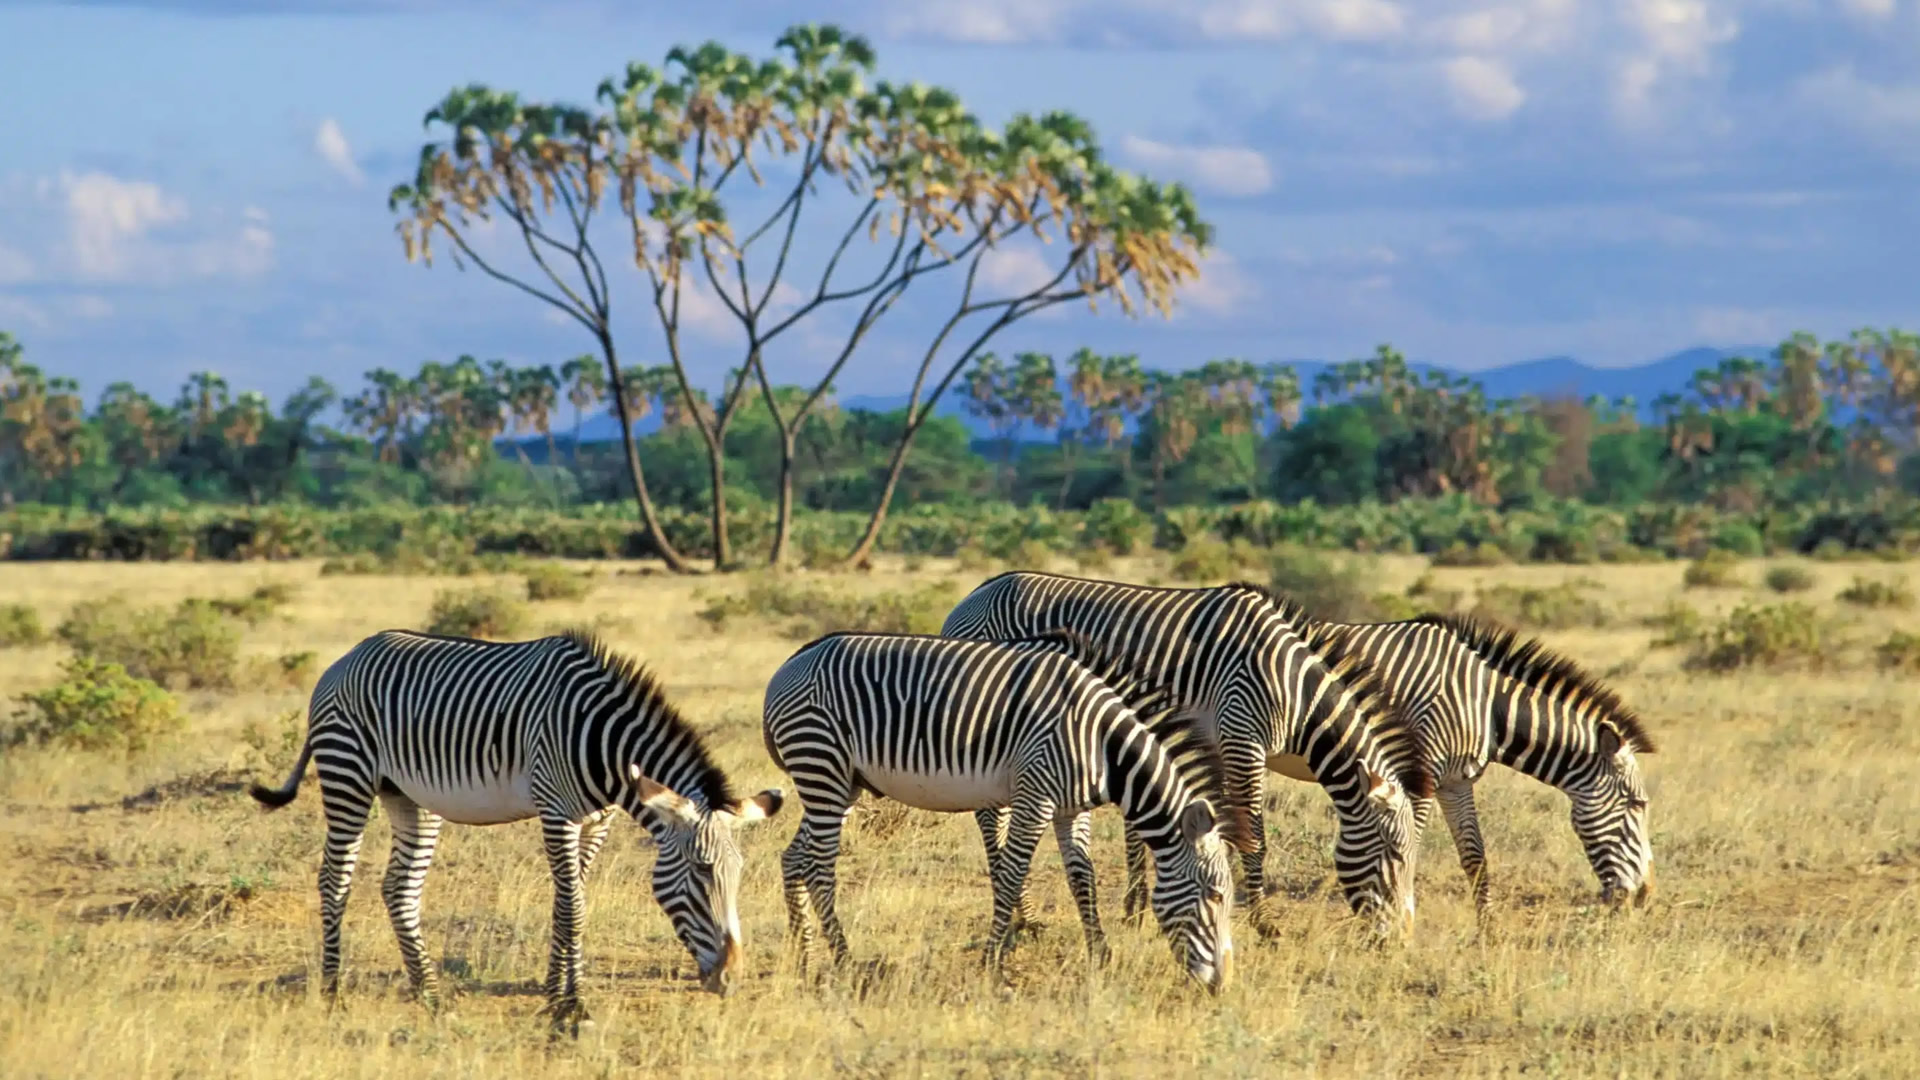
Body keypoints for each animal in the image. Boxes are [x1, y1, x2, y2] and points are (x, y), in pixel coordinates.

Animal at [249, 626, 787, 1022]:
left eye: (739, 875)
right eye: (700, 872)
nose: (731, 979)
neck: (605, 747)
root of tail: (347, 656)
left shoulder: (597, 821)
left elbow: (569, 901)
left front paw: (560, 992)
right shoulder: (556, 810)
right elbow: (573, 907)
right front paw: (571, 1005)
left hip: (409, 796)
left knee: (399, 887)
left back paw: (429, 992)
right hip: (348, 774)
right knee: (334, 879)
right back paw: (333, 991)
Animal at [756, 626, 1251, 991]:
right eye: (1215, 895)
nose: (1221, 985)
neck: (1104, 743)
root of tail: (789, 663)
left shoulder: (1071, 808)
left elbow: (1082, 876)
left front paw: (1101, 953)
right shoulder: (1036, 794)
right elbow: (1012, 873)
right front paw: (994, 960)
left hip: (841, 783)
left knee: (794, 857)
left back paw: (804, 955)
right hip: (821, 764)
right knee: (820, 865)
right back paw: (844, 957)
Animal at [936, 568, 1436, 930]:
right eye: (1396, 855)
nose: (1400, 937)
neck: (1293, 687)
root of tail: (974, 594)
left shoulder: (1234, 747)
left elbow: (1226, 831)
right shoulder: (1241, 737)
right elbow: (1254, 838)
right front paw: (1263, 925)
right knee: (990, 817)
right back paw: (1022, 916)